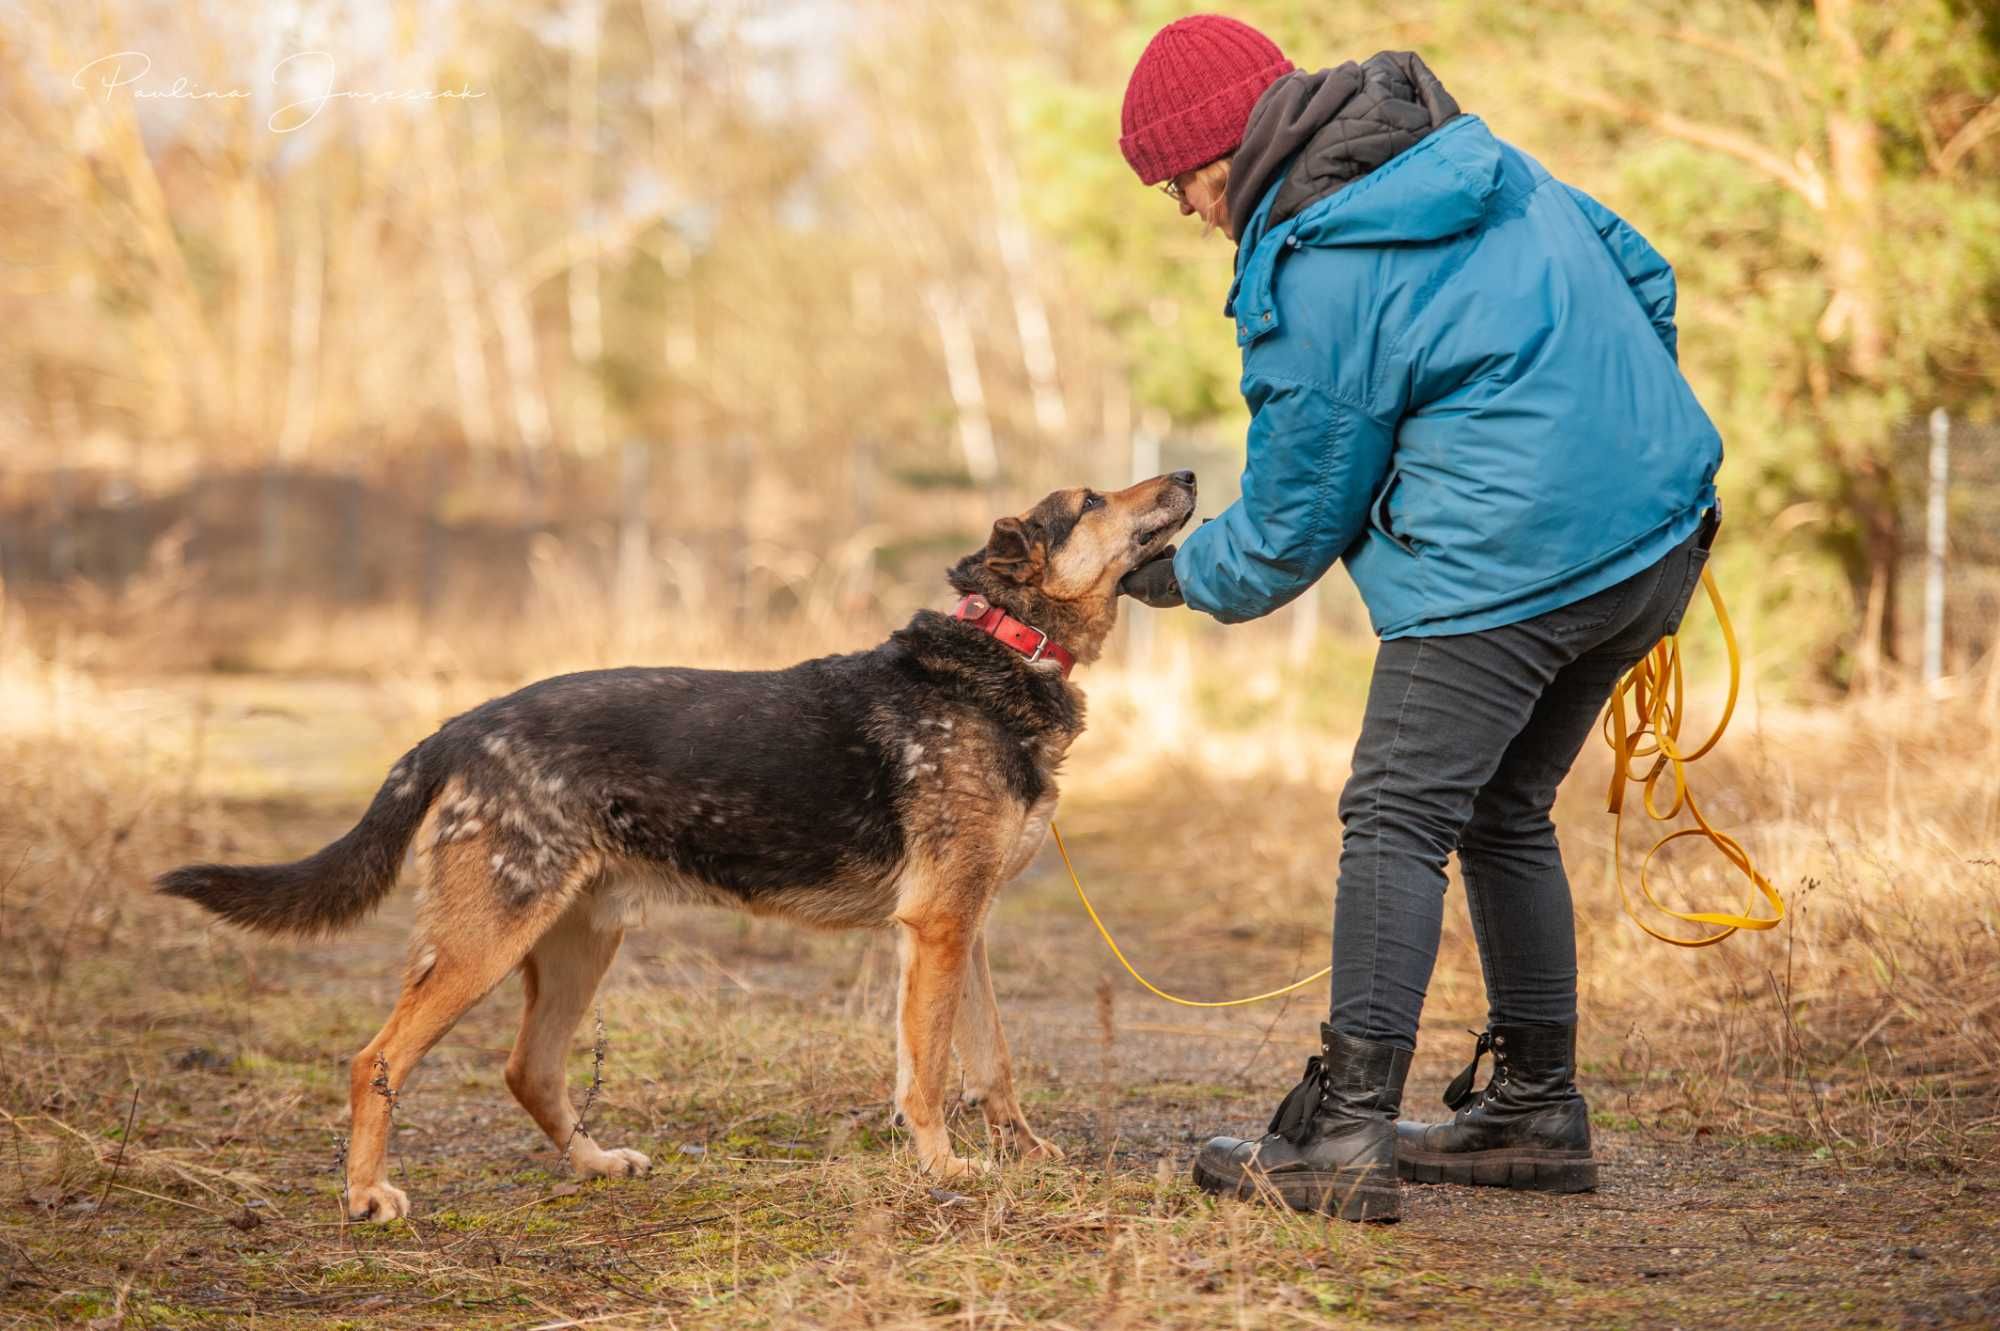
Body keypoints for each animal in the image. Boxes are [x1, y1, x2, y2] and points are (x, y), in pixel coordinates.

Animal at [160, 471, 1184, 1215]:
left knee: (529, 1068)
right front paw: (939, 1166)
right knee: (377, 1058)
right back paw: (368, 1193)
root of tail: (462, 727)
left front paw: (1023, 1153)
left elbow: (989, 1062)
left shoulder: (962, 927)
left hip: (579, 941)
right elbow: (930, 1068)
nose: (1186, 474)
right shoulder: (938, 925)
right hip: (485, 941)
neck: (1006, 648)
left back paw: (594, 1163)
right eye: (1090, 500)